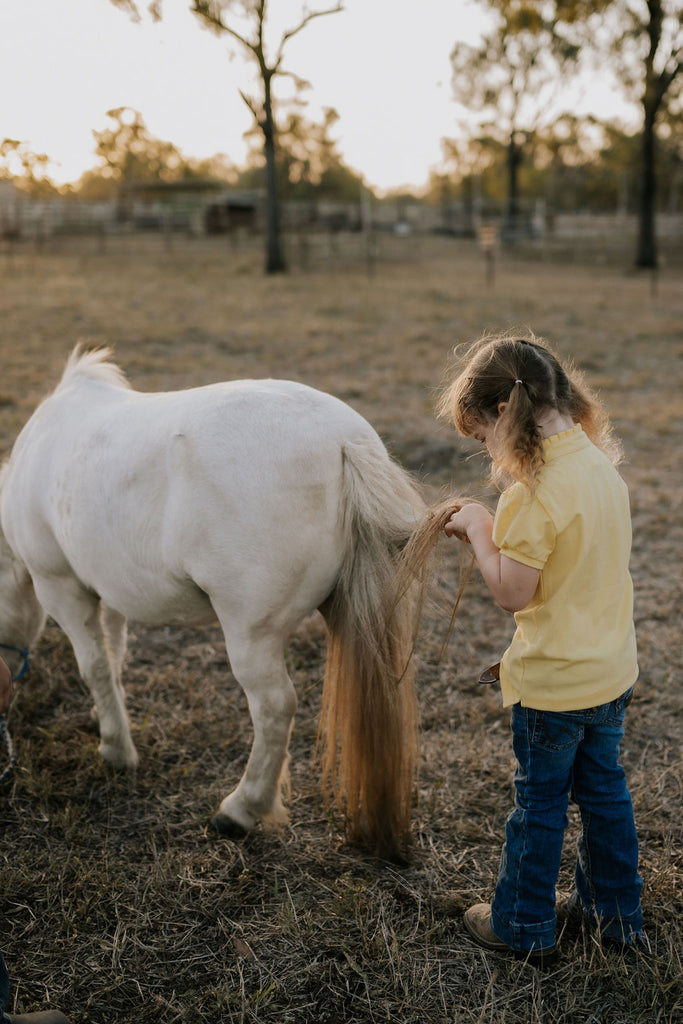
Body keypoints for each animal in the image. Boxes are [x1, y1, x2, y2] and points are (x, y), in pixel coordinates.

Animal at [0, 348, 423, 860]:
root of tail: (344, 441)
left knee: (274, 708)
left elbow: (95, 666)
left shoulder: (61, 587)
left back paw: (240, 809)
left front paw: (116, 751)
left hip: (251, 634)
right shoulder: (110, 591)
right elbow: (113, 658)